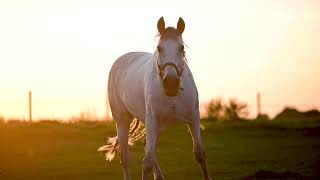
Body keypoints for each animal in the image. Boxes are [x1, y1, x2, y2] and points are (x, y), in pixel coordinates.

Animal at [99, 17, 211, 180]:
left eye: (181, 48)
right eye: (159, 48)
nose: (171, 82)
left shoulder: (193, 118)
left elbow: (200, 154)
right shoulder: (152, 120)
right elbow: (147, 162)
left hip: (159, 126)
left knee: (146, 146)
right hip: (123, 121)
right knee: (125, 159)